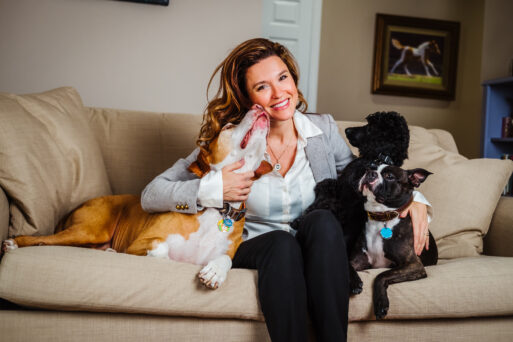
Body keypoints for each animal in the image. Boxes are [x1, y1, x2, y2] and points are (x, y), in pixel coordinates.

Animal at [1, 104, 272, 288]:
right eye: (228, 127)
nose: (258, 106)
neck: (220, 208)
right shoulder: (141, 243)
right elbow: (161, 251)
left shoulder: (225, 252)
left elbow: (226, 260)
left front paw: (215, 271)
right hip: (90, 229)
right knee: (43, 239)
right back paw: (14, 243)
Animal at [350, 164, 438, 320]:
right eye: (369, 167)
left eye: (389, 176)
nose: (370, 173)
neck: (381, 218)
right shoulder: (358, 260)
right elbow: (347, 266)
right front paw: (355, 283)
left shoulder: (413, 265)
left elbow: (381, 275)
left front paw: (381, 304)